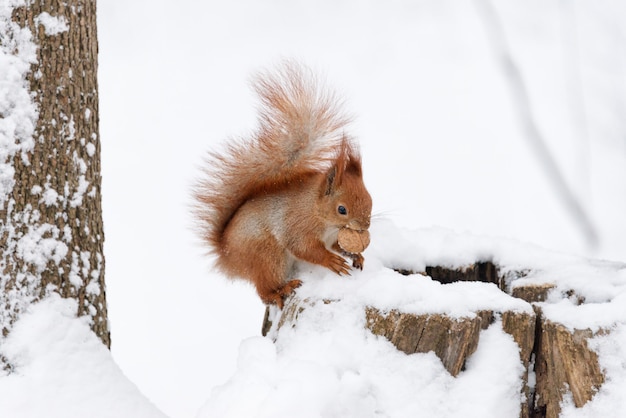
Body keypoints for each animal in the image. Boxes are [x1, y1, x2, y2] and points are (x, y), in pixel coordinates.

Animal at [193, 61, 370, 306]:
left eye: (370, 199)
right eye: (341, 209)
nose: (364, 227)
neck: (318, 213)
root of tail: (227, 256)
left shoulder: (333, 237)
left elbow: (338, 247)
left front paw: (357, 255)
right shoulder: (298, 226)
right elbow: (305, 248)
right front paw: (331, 261)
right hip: (268, 255)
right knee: (263, 289)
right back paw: (282, 290)